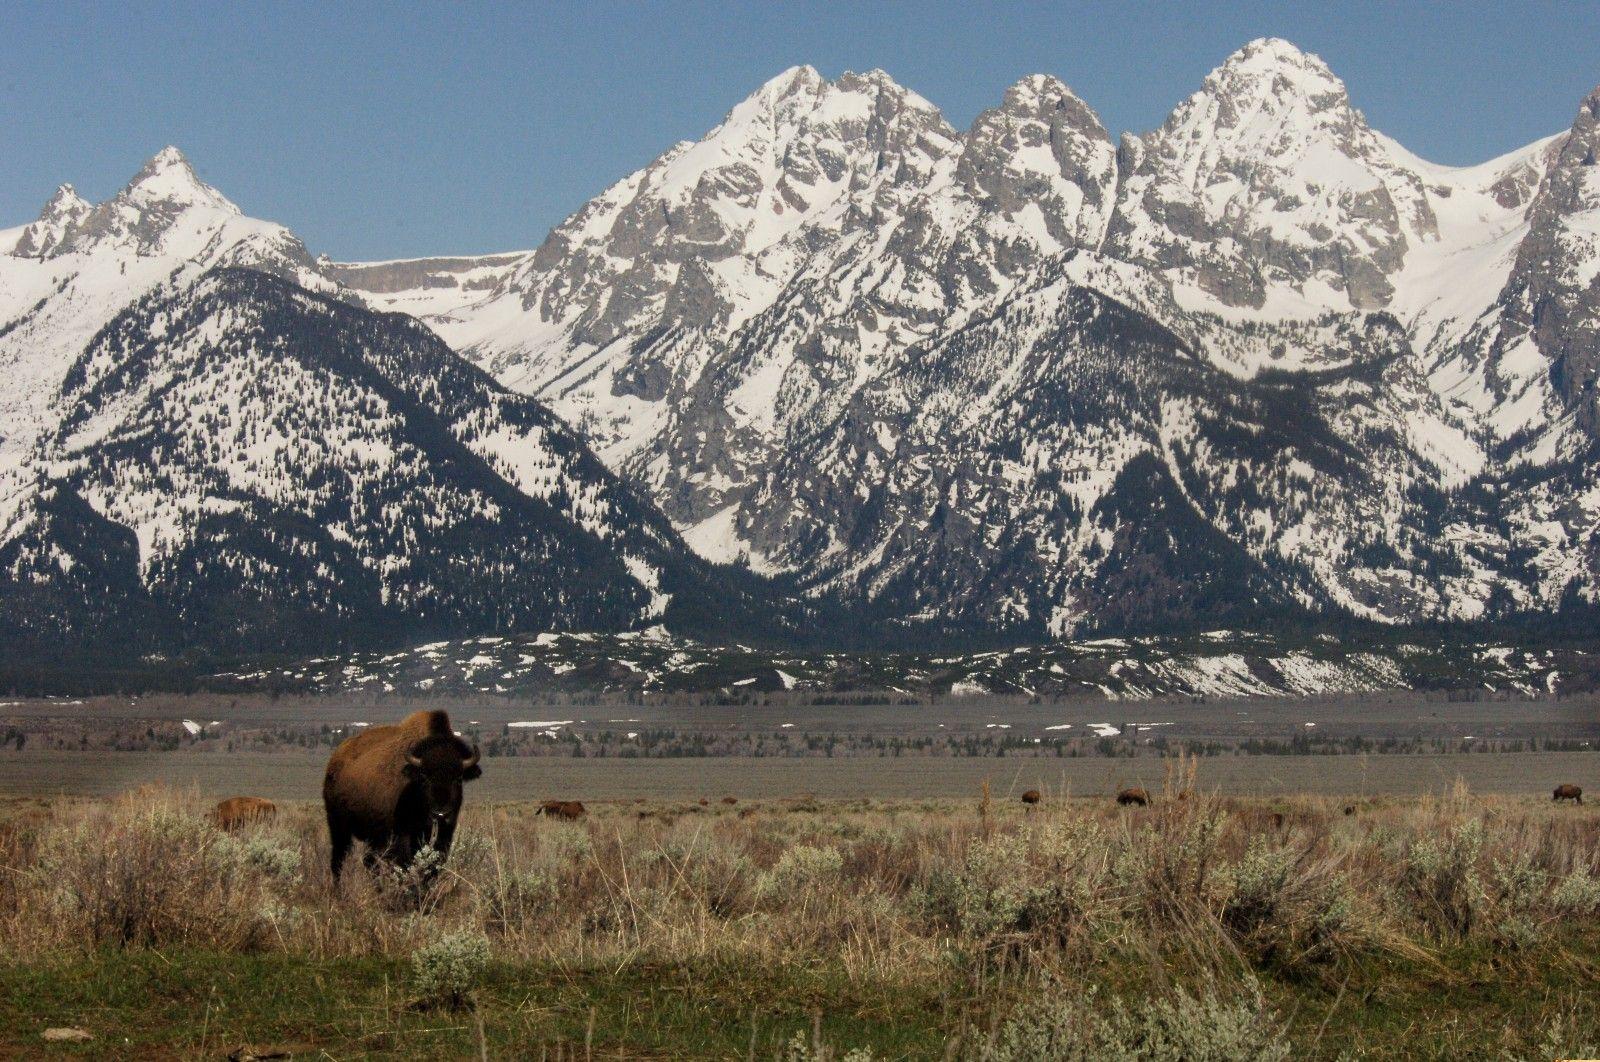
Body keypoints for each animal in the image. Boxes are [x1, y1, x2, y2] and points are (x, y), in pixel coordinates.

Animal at [323, 709, 480, 881]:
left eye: (458, 778)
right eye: (424, 776)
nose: (440, 814)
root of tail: (335, 760)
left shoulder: (443, 835)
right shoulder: (401, 837)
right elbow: (405, 865)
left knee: (368, 861)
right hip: (338, 825)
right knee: (338, 859)